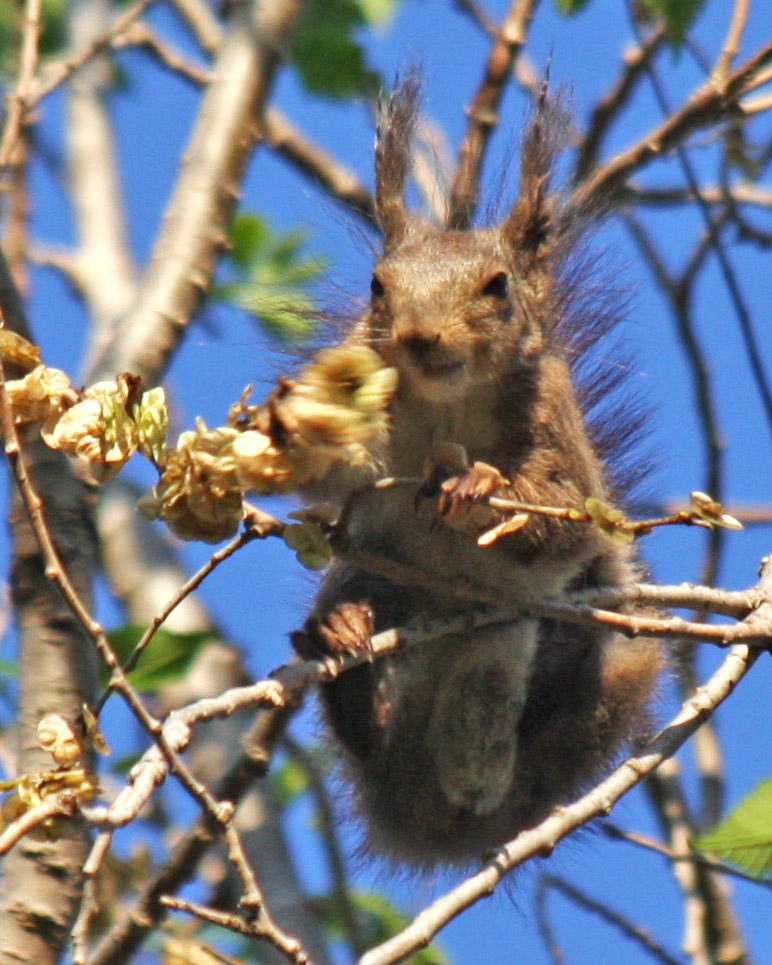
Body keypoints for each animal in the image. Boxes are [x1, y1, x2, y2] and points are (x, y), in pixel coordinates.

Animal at [290, 75, 664, 868]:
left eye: (497, 285)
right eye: (378, 286)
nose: (419, 336)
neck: (448, 403)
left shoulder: (552, 424)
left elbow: (563, 514)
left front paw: (481, 492)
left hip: (591, 636)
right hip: (372, 574)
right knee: (363, 720)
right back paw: (344, 644)